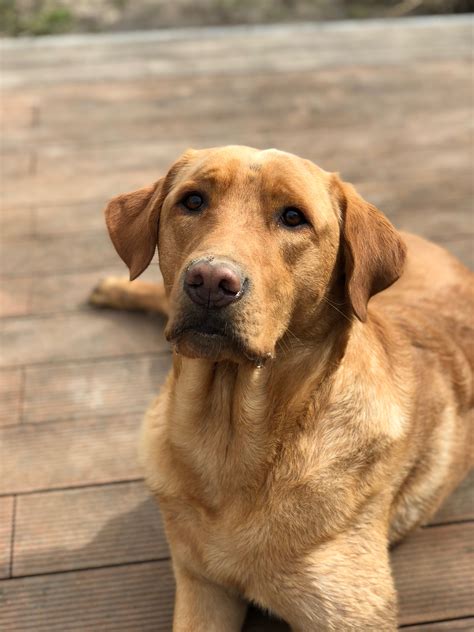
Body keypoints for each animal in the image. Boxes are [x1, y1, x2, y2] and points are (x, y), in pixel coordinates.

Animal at [90, 146, 472, 628]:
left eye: (293, 217)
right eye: (192, 201)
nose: (211, 281)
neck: (229, 438)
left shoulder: (352, 614)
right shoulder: (200, 585)